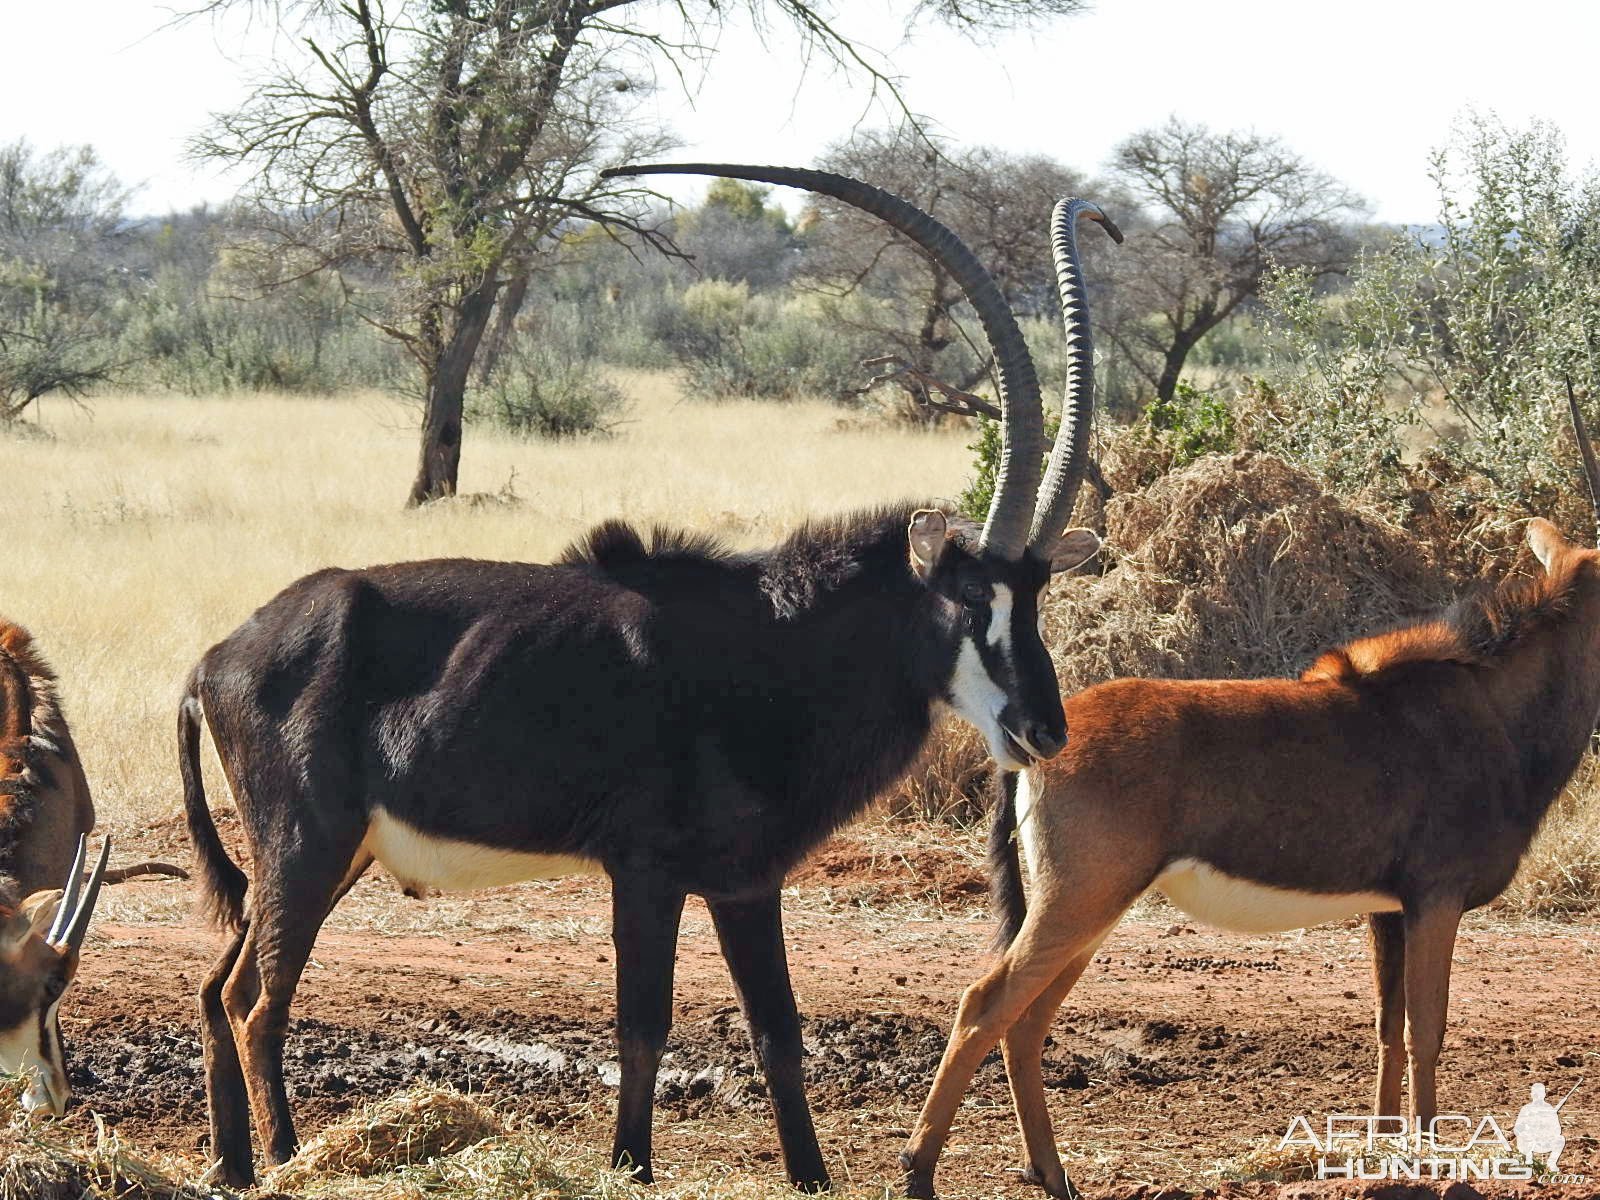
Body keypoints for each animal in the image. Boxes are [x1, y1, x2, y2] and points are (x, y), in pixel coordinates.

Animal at [908, 396, 1600, 1200]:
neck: (1492, 704)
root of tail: (1036, 744)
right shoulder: (1436, 899)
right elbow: (1427, 1028)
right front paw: (1436, 1170)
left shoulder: (1388, 910)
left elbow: (1388, 1028)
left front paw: (1382, 1154)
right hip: (1078, 902)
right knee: (984, 1005)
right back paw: (919, 1170)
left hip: (1088, 912)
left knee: (1024, 1020)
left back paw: (1053, 1175)